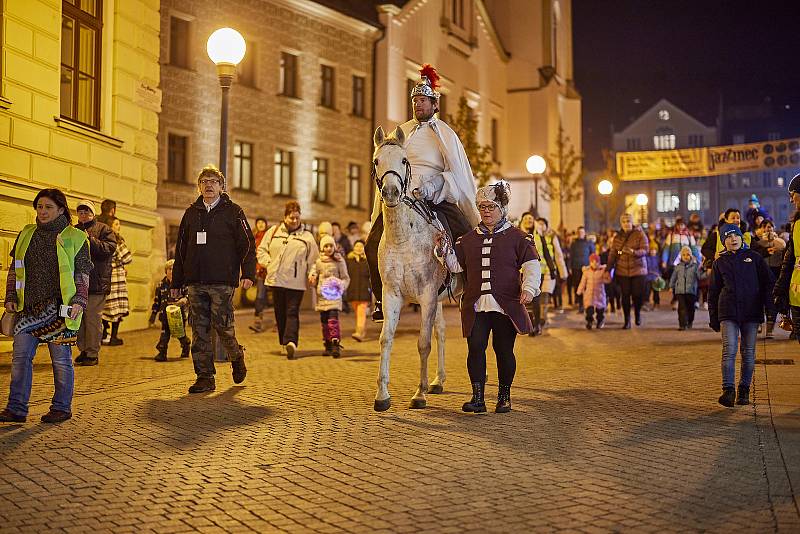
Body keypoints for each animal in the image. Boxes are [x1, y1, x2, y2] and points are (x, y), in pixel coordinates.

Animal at [374, 126, 454, 414]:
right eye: (377, 160)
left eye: (404, 160)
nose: (391, 192)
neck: (404, 238)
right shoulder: (391, 294)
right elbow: (386, 339)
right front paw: (382, 395)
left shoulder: (427, 295)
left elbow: (423, 343)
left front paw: (419, 394)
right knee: (442, 331)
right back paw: (438, 380)